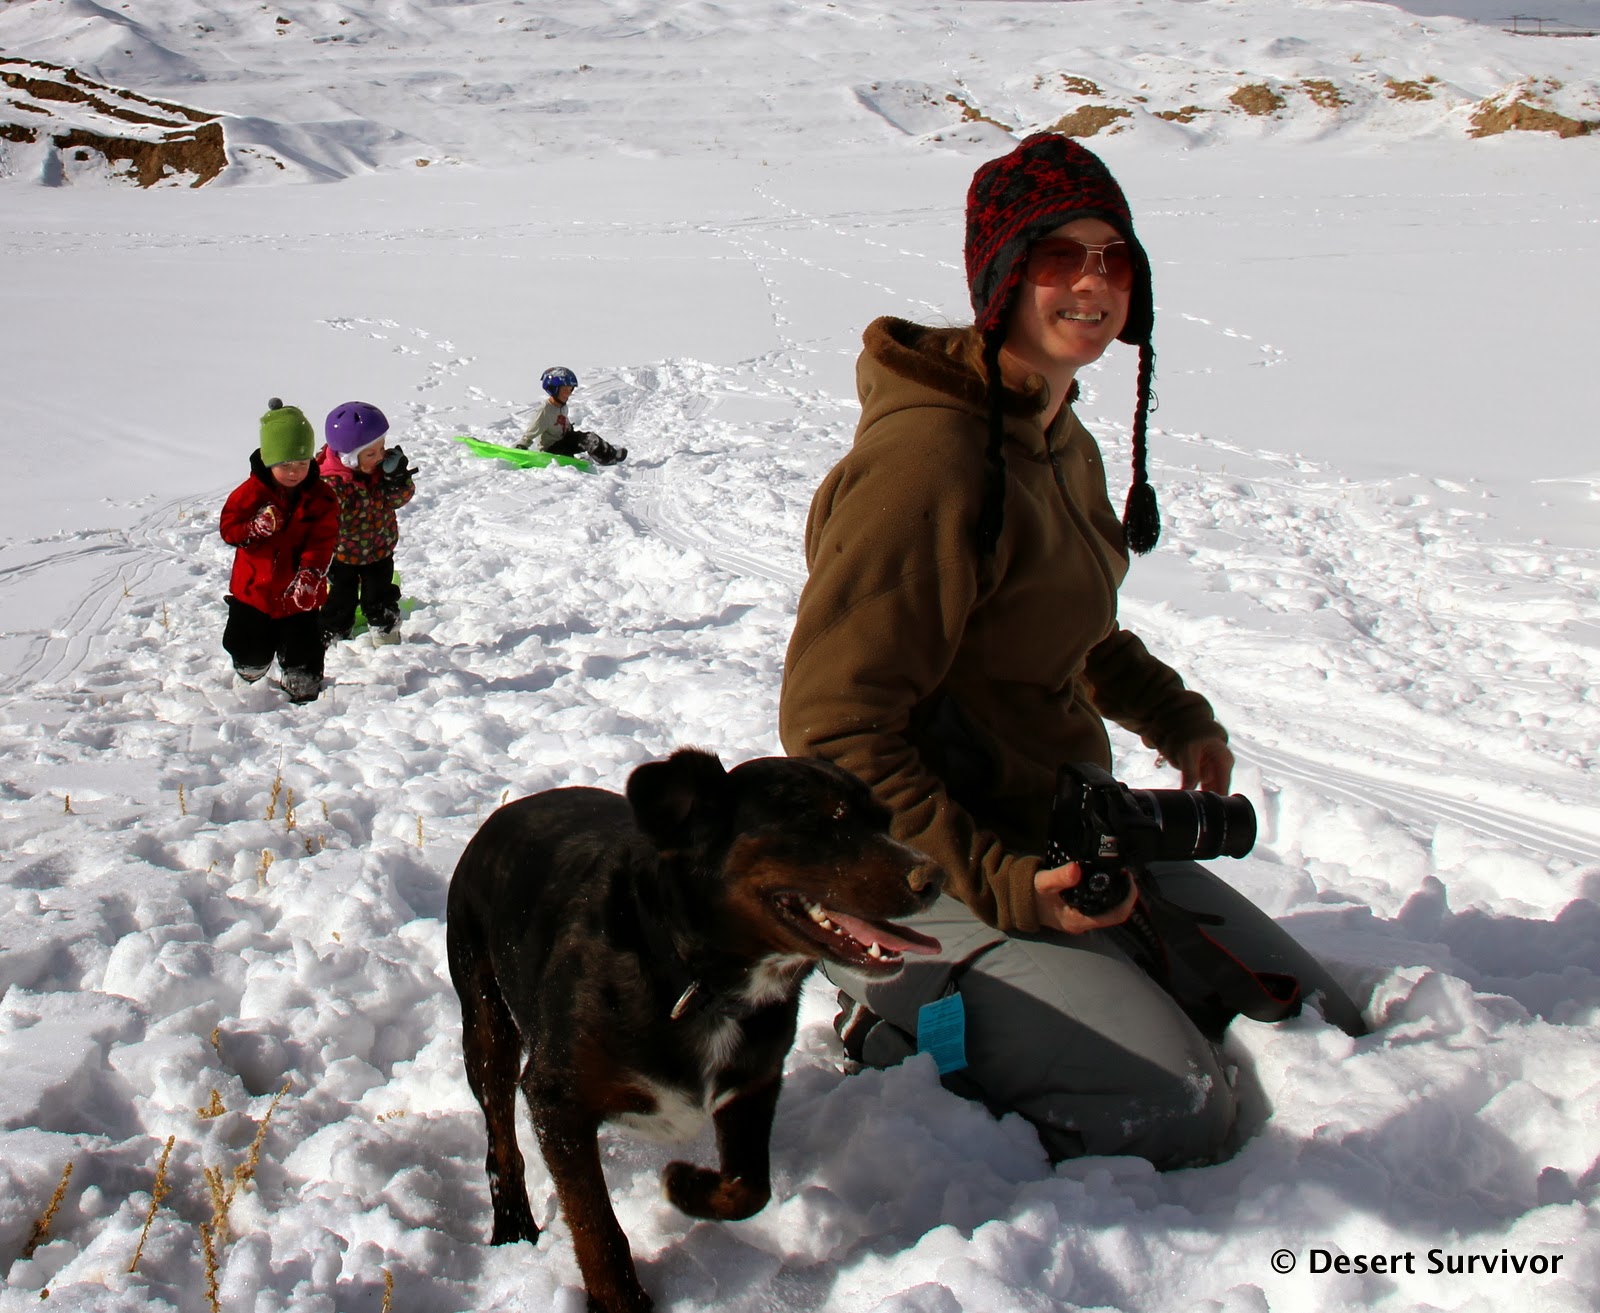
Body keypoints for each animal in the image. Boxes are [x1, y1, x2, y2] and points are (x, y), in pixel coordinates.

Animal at [447, 747, 943, 1313]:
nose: (933, 878)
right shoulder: (554, 1097)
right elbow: (596, 1227)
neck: (696, 980)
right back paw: (512, 1225)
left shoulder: (753, 1081)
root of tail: (502, 816)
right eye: (821, 820)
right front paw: (621, 1300)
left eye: (884, 821)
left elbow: (751, 1186)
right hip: (485, 1023)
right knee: (501, 1138)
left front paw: (686, 1184)